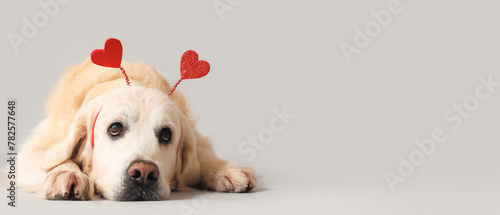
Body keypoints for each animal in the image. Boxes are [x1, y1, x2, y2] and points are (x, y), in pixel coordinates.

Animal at [17, 59, 256, 201]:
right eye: (115, 128)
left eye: (166, 134)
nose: (144, 174)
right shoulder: (35, 149)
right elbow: (51, 159)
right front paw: (66, 173)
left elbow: (201, 154)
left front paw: (226, 170)